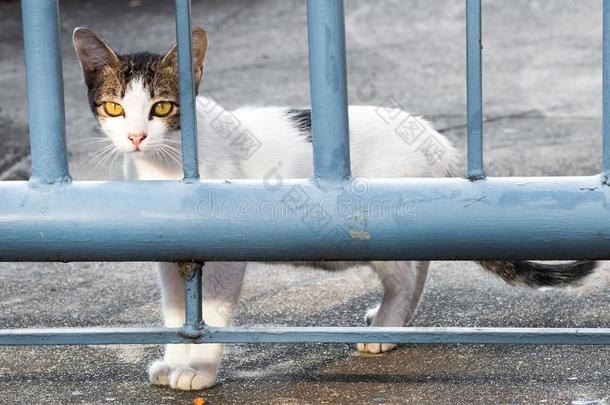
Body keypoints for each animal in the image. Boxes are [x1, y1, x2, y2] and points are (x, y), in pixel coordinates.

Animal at [71, 26, 592, 390]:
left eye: (162, 108)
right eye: (115, 108)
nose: (136, 137)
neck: (165, 168)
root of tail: (437, 140)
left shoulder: (224, 249)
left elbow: (212, 311)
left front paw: (199, 369)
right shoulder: (165, 254)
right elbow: (176, 312)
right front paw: (174, 358)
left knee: (406, 273)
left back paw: (386, 327)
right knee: (418, 263)